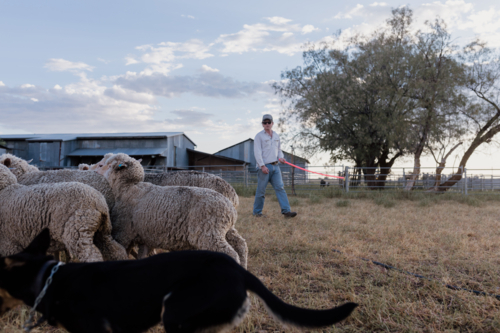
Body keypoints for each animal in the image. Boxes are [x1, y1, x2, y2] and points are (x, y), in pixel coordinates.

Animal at [0, 163, 128, 262]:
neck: (5, 190)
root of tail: (99, 202)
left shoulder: (9, 244)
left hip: (78, 232)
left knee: (92, 256)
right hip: (102, 231)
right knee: (116, 250)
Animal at [96, 153, 248, 268]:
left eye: (105, 165)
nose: (93, 172)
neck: (127, 188)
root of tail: (231, 202)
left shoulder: (124, 232)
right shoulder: (145, 234)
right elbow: (143, 255)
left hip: (208, 234)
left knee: (231, 253)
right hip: (223, 229)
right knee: (240, 245)